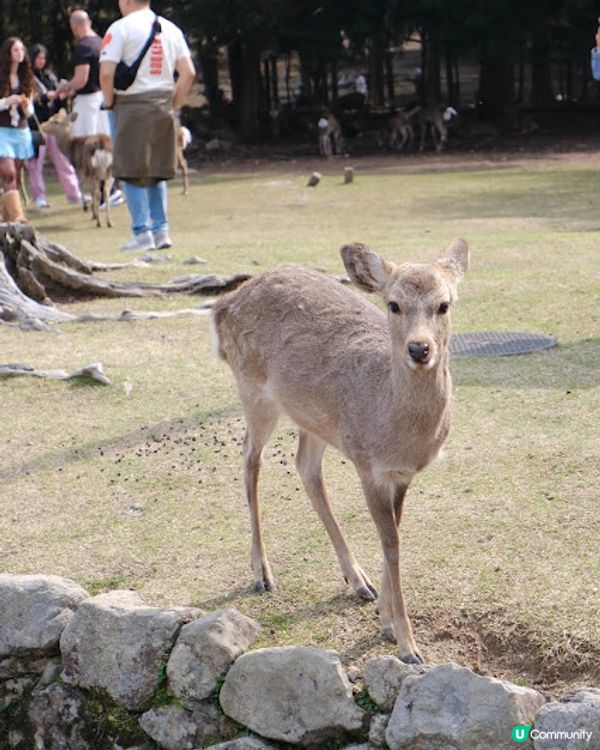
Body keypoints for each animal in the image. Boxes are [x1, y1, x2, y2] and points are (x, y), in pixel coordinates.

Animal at [212, 238, 469, 664]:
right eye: (393, 304)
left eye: (444, 304)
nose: (419, 349)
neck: (398, 432)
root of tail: (223, 305)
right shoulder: (368, 465)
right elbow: (392, 544)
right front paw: (408, 646)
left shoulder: (401, 475)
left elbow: (394, 535)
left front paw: (385, 620)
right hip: (253, 390)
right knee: (250, 457)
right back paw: (262, 573)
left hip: (313, 418)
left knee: (305, 467)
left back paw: (357, 579)